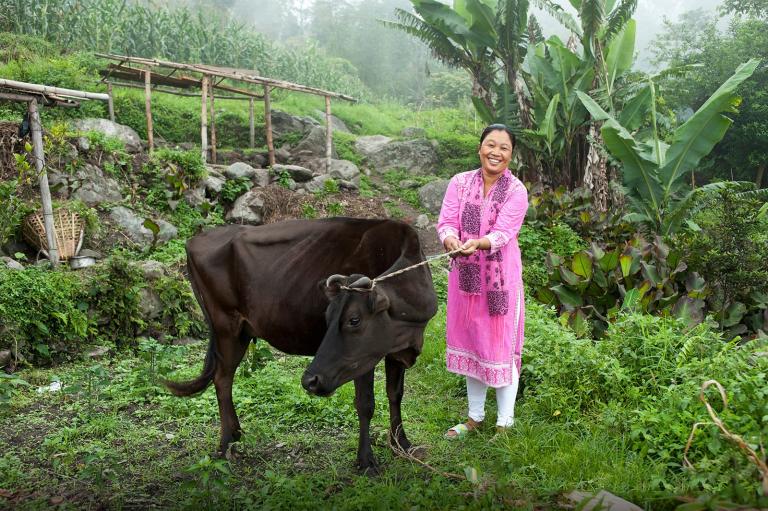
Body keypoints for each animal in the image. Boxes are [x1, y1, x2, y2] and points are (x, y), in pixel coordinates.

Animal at [164, 216, 438, 472]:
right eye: (328, 317)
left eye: (354, 319)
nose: (310, 381)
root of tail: (194, 239)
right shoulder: (363, 359)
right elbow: (365, 404)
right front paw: (366, 461)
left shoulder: (396, 350)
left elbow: (395, 394)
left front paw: (402, 444)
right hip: (226, 326)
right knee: (222, 379)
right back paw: (226, 443)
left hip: (241, 332)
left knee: (223, 377)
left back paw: (235, 434)